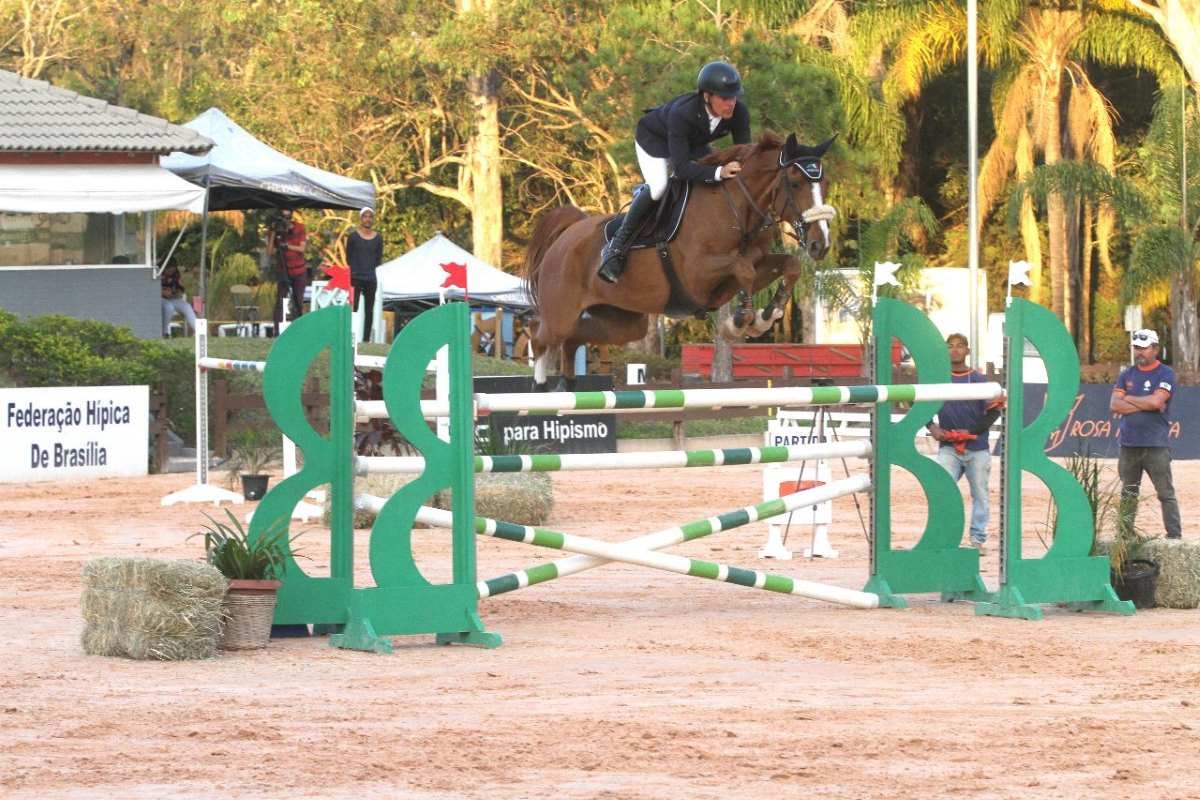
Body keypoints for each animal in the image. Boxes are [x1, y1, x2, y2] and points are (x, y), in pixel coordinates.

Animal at [525, 131, 835, 391]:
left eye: (826, 184)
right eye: (795, 183)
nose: (820, 245)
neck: (738, 210)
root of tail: (566, 235)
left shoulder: (742, 272)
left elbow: (789, 265)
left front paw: (767, 314)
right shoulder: (697, 274)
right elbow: (742, 268)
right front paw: (740, 321)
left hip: (621, 321)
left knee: (573, 341)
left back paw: (565, 388)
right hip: (561, 314)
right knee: (541, 340)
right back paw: (539, 388)